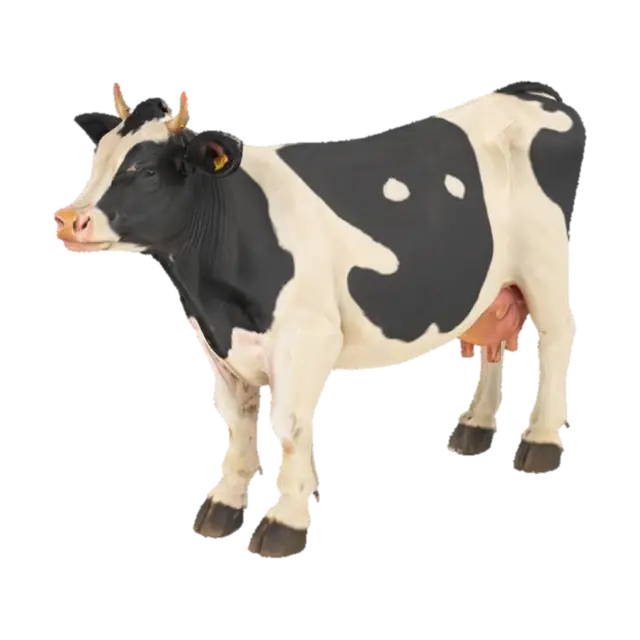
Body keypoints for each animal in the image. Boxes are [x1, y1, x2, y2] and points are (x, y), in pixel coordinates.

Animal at [53, 80, 585, 560]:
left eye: (144, 170)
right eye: (98, 159)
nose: (67, 220)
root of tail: (535, 93)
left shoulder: (306, 336)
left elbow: (288, 427)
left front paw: (285, 523)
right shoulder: (219, 342)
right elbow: (238, 424)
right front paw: (222, 506)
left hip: (545, 262)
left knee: (556, 338)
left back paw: (540, 441)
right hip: (493, 285)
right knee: (496, 341)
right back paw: (474, 427)